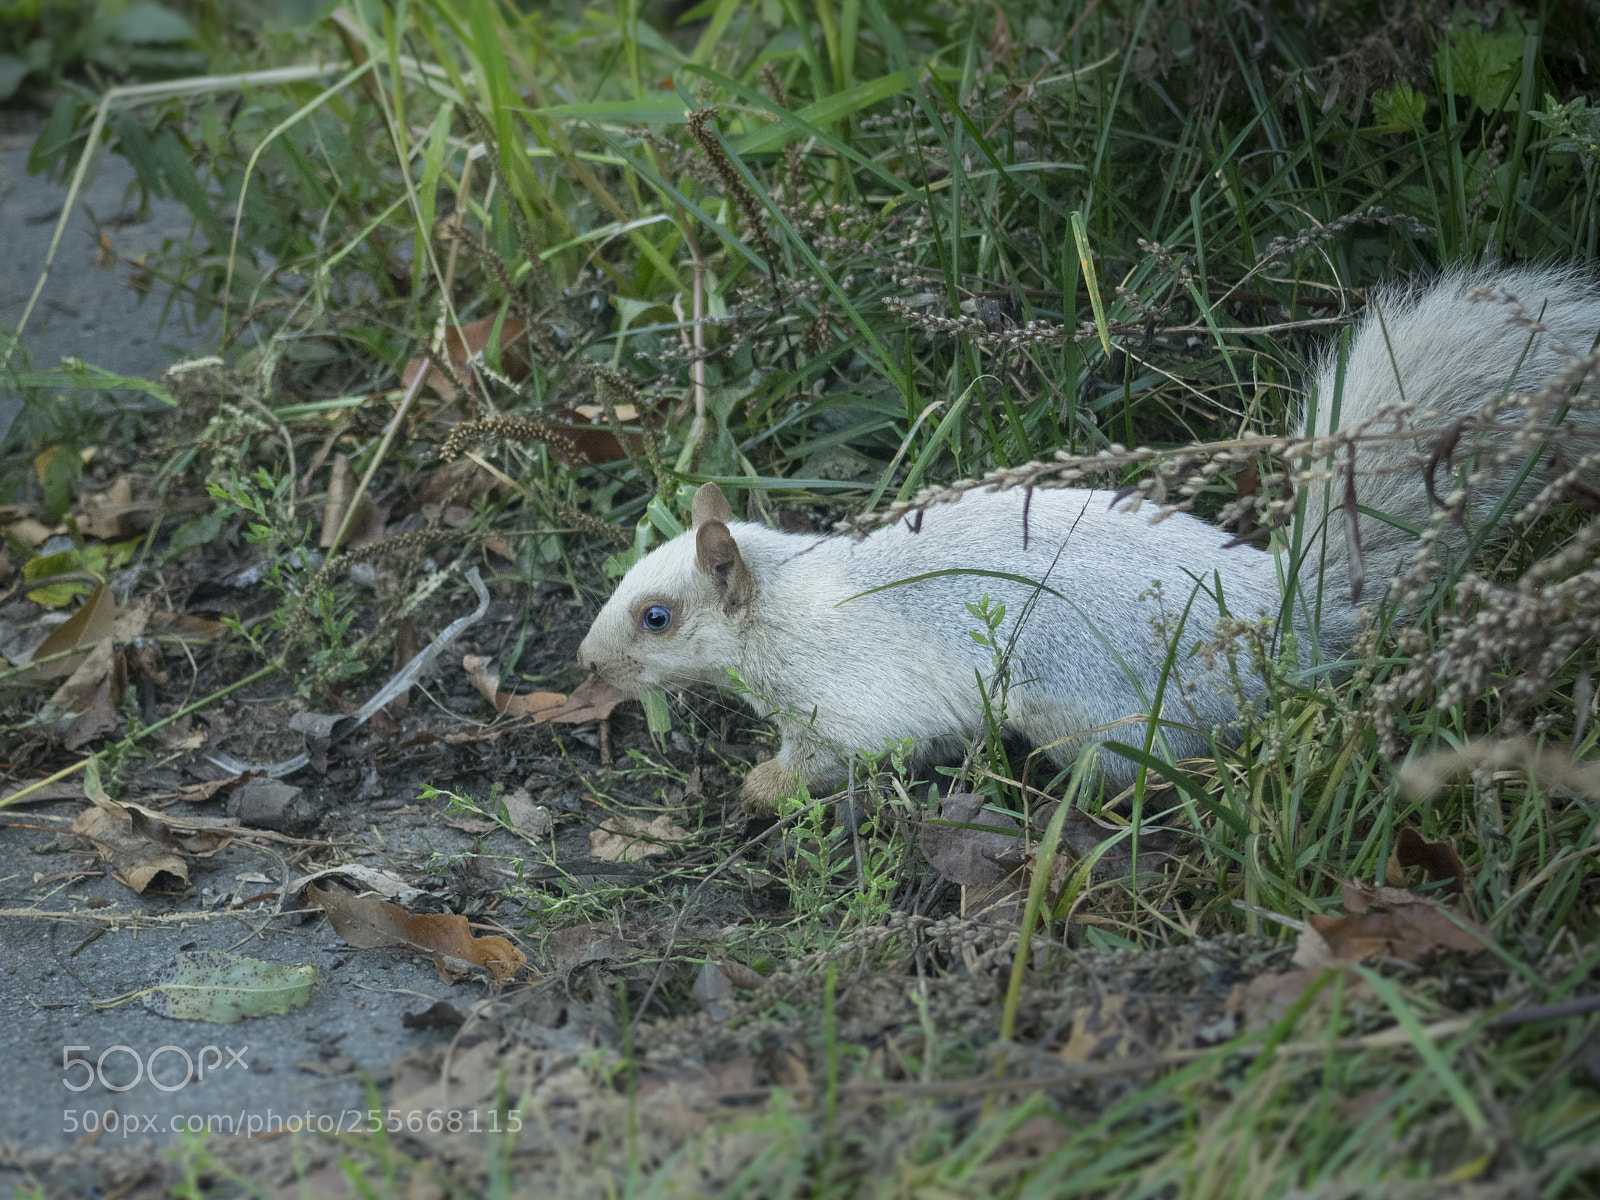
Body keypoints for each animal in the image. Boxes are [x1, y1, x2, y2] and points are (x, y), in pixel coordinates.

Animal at [578, 266, 1600, 810]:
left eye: (657, 617)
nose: (585, 665)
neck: (786, 602)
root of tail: (1280, 621)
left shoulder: (852, 695)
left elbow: (840, 753)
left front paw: (760, 785)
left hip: (1095, 712)